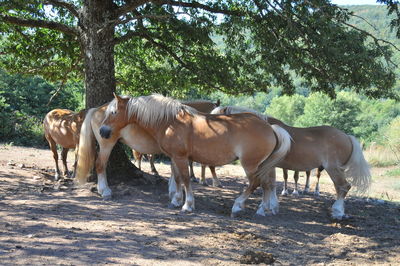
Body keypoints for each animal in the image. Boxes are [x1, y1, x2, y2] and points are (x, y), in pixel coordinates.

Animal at [94, 93, 290, 216]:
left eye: (113, 112)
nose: (103, 131)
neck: (170, 122)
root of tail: (270, 127)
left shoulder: (180, 157)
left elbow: (186, 179)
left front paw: (187, 205)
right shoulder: (175, 157)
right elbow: (178, 178)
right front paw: (176, 200)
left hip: (250, 164)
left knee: (255, 183)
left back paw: (238, 206)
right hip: (262, 165)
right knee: (266, 184)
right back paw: (263, 210)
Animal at [212, 105, 372, 219]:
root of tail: (347, 136)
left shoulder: (267, 166)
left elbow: (267, 184)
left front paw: (264, 208)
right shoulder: (270, 166)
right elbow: (271, 184)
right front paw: (272, 208)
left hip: (333, 169)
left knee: (343, 187)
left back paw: (337, 212)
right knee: (341, 188)